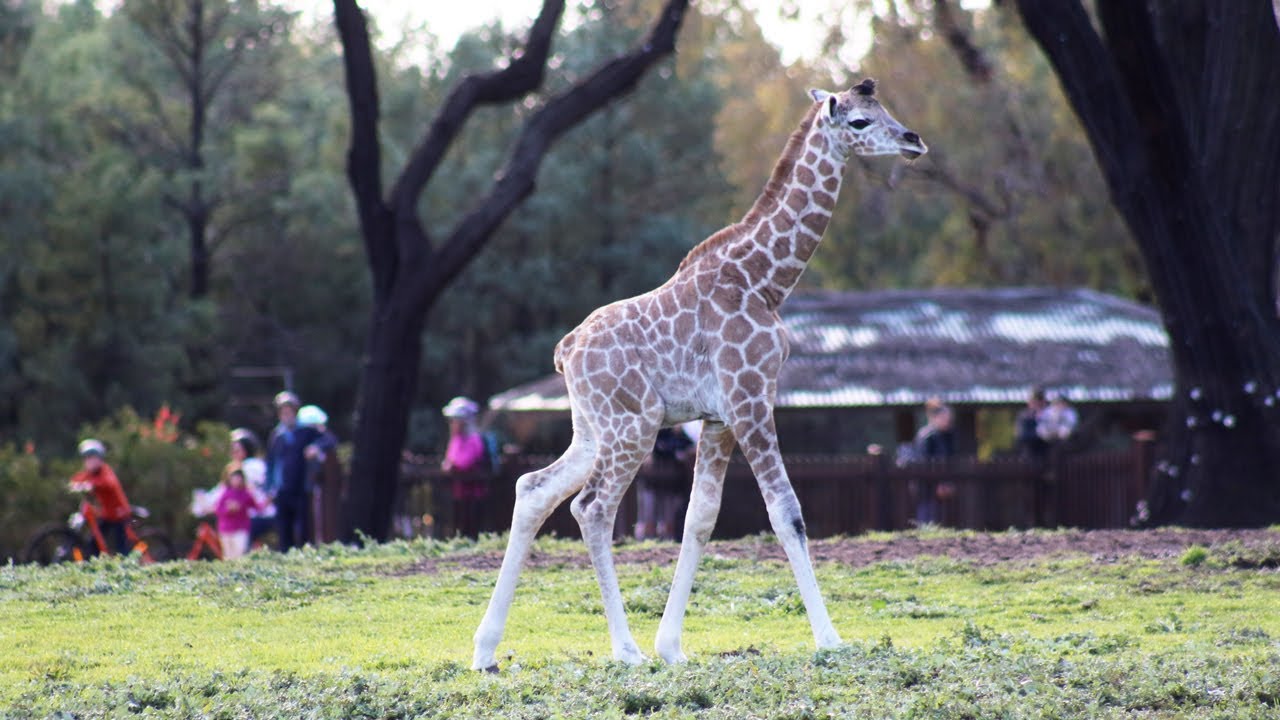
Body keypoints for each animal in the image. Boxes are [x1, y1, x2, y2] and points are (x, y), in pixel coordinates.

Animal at [472, 79, 926, 671]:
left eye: (885, 108)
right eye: (859, 121)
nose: (914, 140)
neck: (764, 280)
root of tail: (565, 351)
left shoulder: (718, 418)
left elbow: (701, 517)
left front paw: (672, 646)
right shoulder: (752, 398)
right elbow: (787, 513)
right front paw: (830, 640)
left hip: (594, 428)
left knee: (533, 489)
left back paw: (486, 650)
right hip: (634, 425)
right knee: (591, 508)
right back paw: (625, 650)